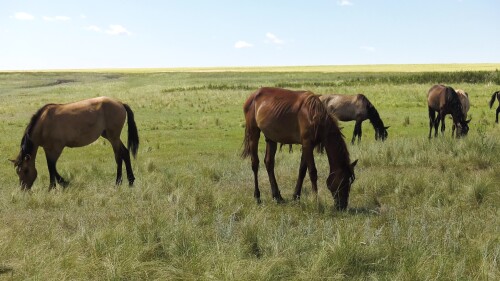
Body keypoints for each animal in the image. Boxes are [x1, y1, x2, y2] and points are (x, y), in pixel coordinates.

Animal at [10, 96, 140, 190]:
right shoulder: (48, 148)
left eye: (26, 170)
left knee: (119, 156)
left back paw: (119, 182)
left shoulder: (56, 148)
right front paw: (56, 185)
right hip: (110, 136)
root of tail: (120, 103)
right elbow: (51, 167)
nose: (23, 188)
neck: (43, 124)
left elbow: (52, 166)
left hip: (113, 138)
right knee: (125, 153)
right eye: (18, 172)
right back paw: (130, 181)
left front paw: (58, 185)